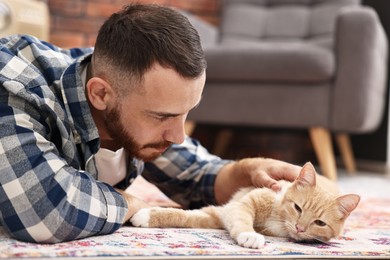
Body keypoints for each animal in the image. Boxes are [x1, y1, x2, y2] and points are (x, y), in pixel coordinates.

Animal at [131, 161, 360, 249]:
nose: (300, 228)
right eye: (298, 208)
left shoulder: (218, 215)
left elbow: (189, 217)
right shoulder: (233, 208)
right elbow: (184, 216)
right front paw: (249, 235)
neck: (277, 217)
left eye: (319, 223)